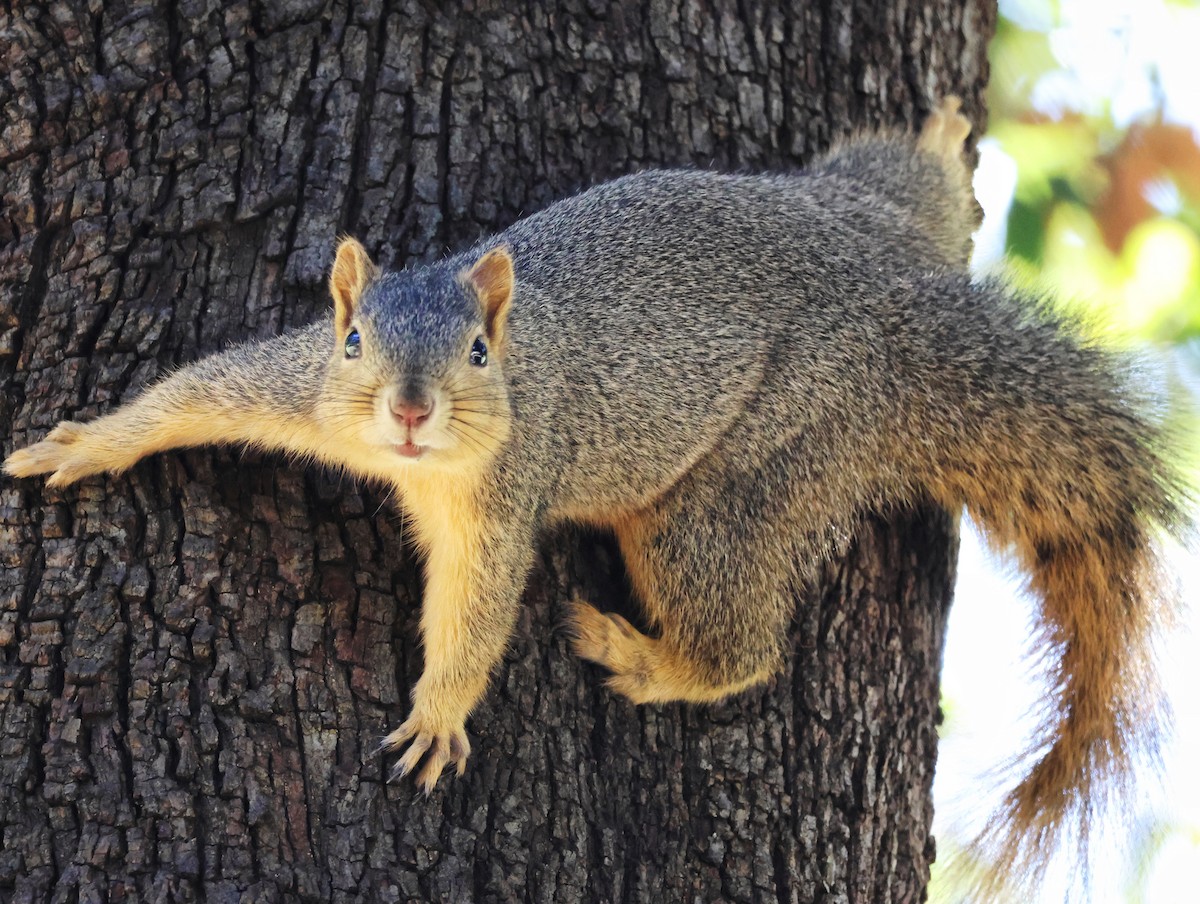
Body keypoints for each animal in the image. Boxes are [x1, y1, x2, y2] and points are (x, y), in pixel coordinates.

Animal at [4, 97, 1190, 890]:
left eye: (480, 353)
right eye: (353, 340)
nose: (410, 412)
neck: (419, 462)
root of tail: (905, 310)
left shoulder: (505, 492)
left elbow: (480, 606)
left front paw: (440, 711)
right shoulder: (300, 390)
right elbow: (197, 394)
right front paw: (92, 442)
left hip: (743, 480)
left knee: (738, 644)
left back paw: (646, 655)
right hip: (864, 206)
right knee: (913, 187)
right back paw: (940, 147)